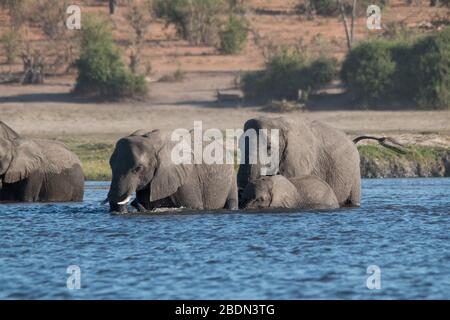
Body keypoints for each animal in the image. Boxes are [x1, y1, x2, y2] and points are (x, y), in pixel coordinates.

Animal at [106, 127, 239, 212]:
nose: (134, 202)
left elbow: (193, 206)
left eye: (138, 168)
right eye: (110, 165)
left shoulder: (188, 178)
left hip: (231, 178)